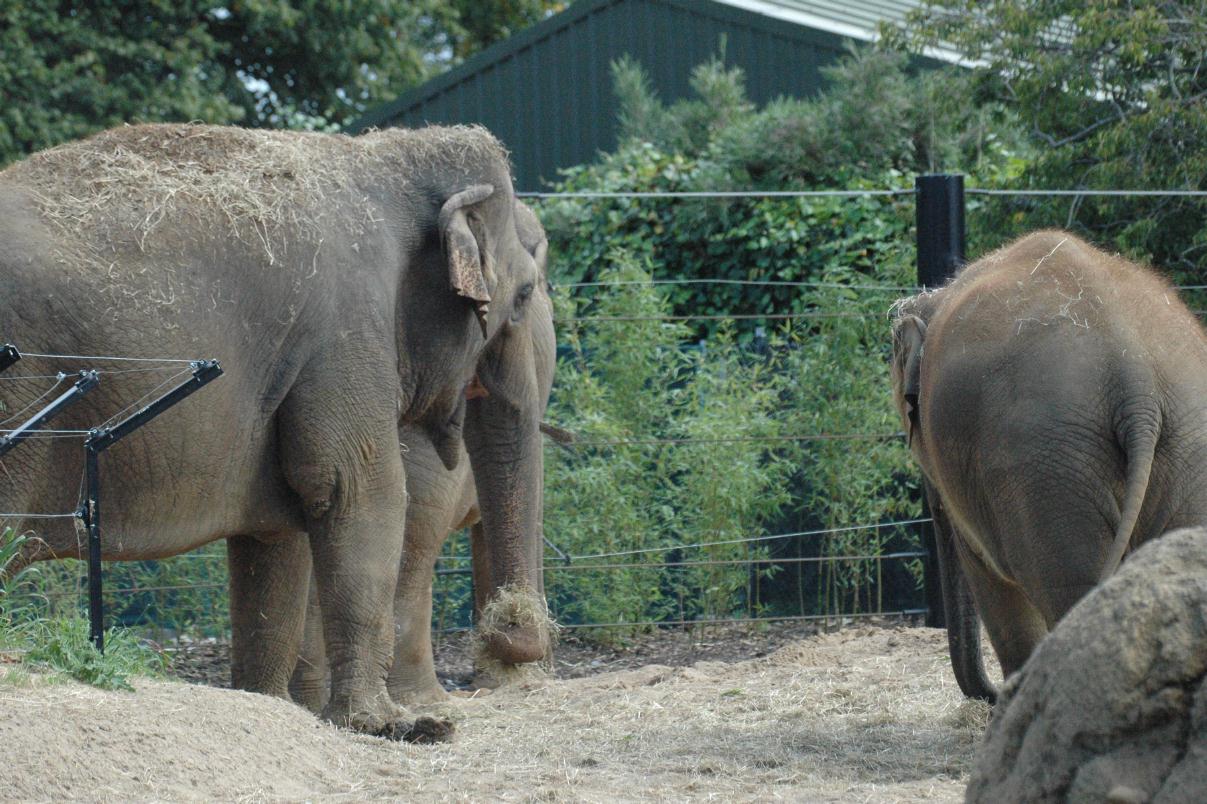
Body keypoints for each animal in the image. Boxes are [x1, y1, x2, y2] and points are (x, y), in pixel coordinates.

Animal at [0, 120, 547, 738]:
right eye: (525, 294)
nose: (507, 631)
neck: (384, 156)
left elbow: (275, 534)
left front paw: (268, 703)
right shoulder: (348, 330)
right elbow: (362, 490)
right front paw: (395, 726)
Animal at [888, 228, 1207, 700]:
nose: (990, 693)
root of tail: (1136, 379)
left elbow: (988, 579)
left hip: (1044, 463)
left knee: (1067, 589)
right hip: (1175, 444)